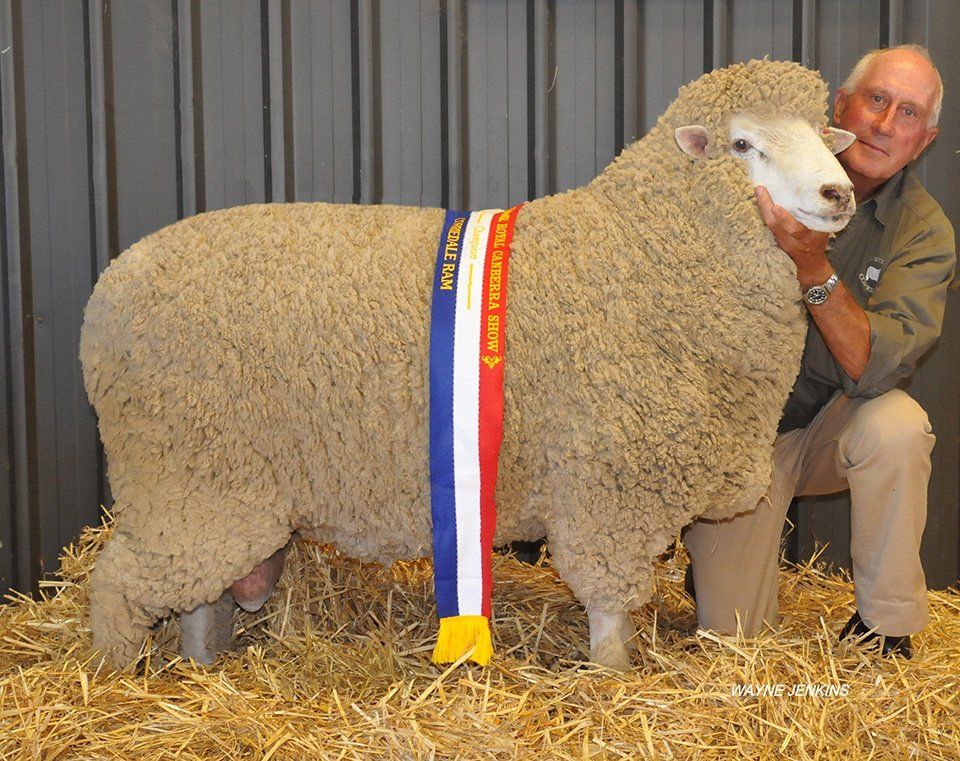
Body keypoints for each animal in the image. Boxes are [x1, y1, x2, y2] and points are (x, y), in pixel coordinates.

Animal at [80, 59, 856, 671]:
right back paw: (121, 681)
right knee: (120, 584)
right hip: (184, 475)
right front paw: (611, 676)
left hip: (211, 492)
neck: (637, 252)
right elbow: (608, 602)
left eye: (823, 135)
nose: (839, 193)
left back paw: (201, 665)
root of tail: (108, 290)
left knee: (194, 595)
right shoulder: (607, 485)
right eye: (743, 144)